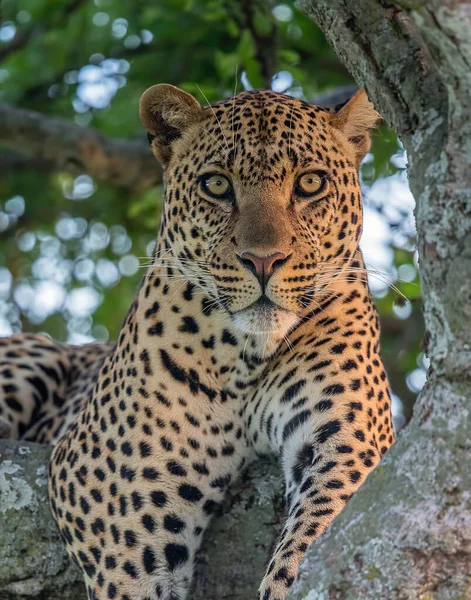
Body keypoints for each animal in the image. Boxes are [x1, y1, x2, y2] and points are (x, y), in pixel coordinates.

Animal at [0, 85, 394, 600]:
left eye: (310, 183)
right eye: (216, 185)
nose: (263, 261)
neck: (248, 355)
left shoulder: (350, 435)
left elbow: (317, 536)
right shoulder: (111, 492)